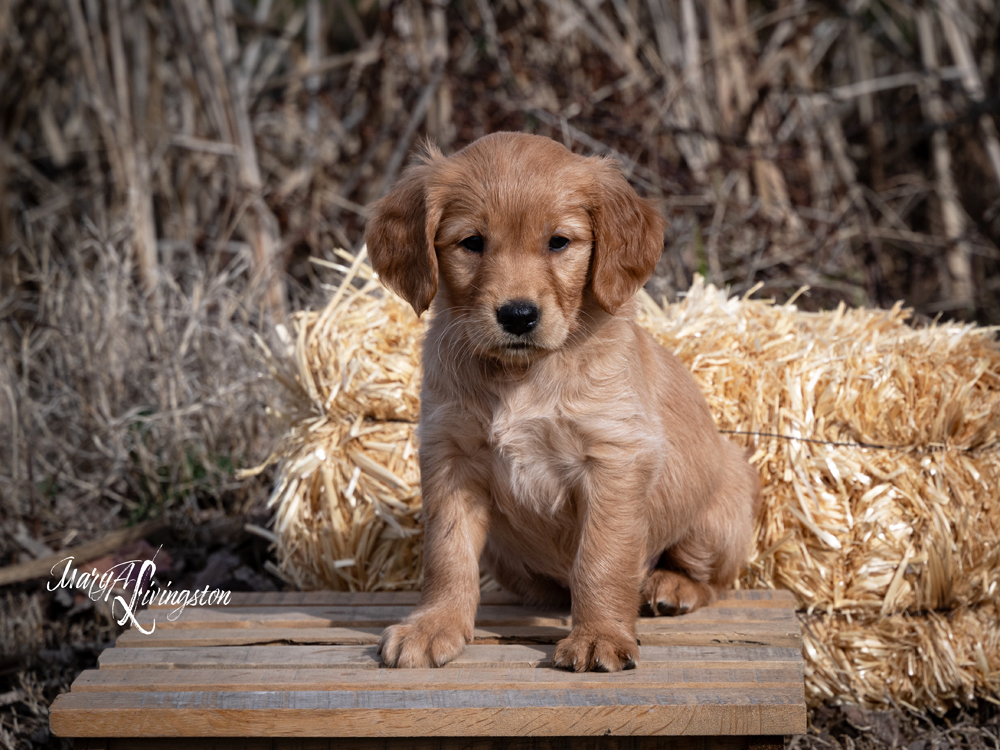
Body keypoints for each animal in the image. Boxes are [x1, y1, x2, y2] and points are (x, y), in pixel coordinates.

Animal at [366, 132, 756, 672]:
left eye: (558, 242)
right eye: (472, 242)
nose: (518, 315)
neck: (524, 373)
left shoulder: (614, 458)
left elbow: (602, 558)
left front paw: (599, 636)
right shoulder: (450, 455)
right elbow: (447, 553)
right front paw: (433, 626)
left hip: (718, 513)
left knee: (714, 581)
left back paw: (670, 586)